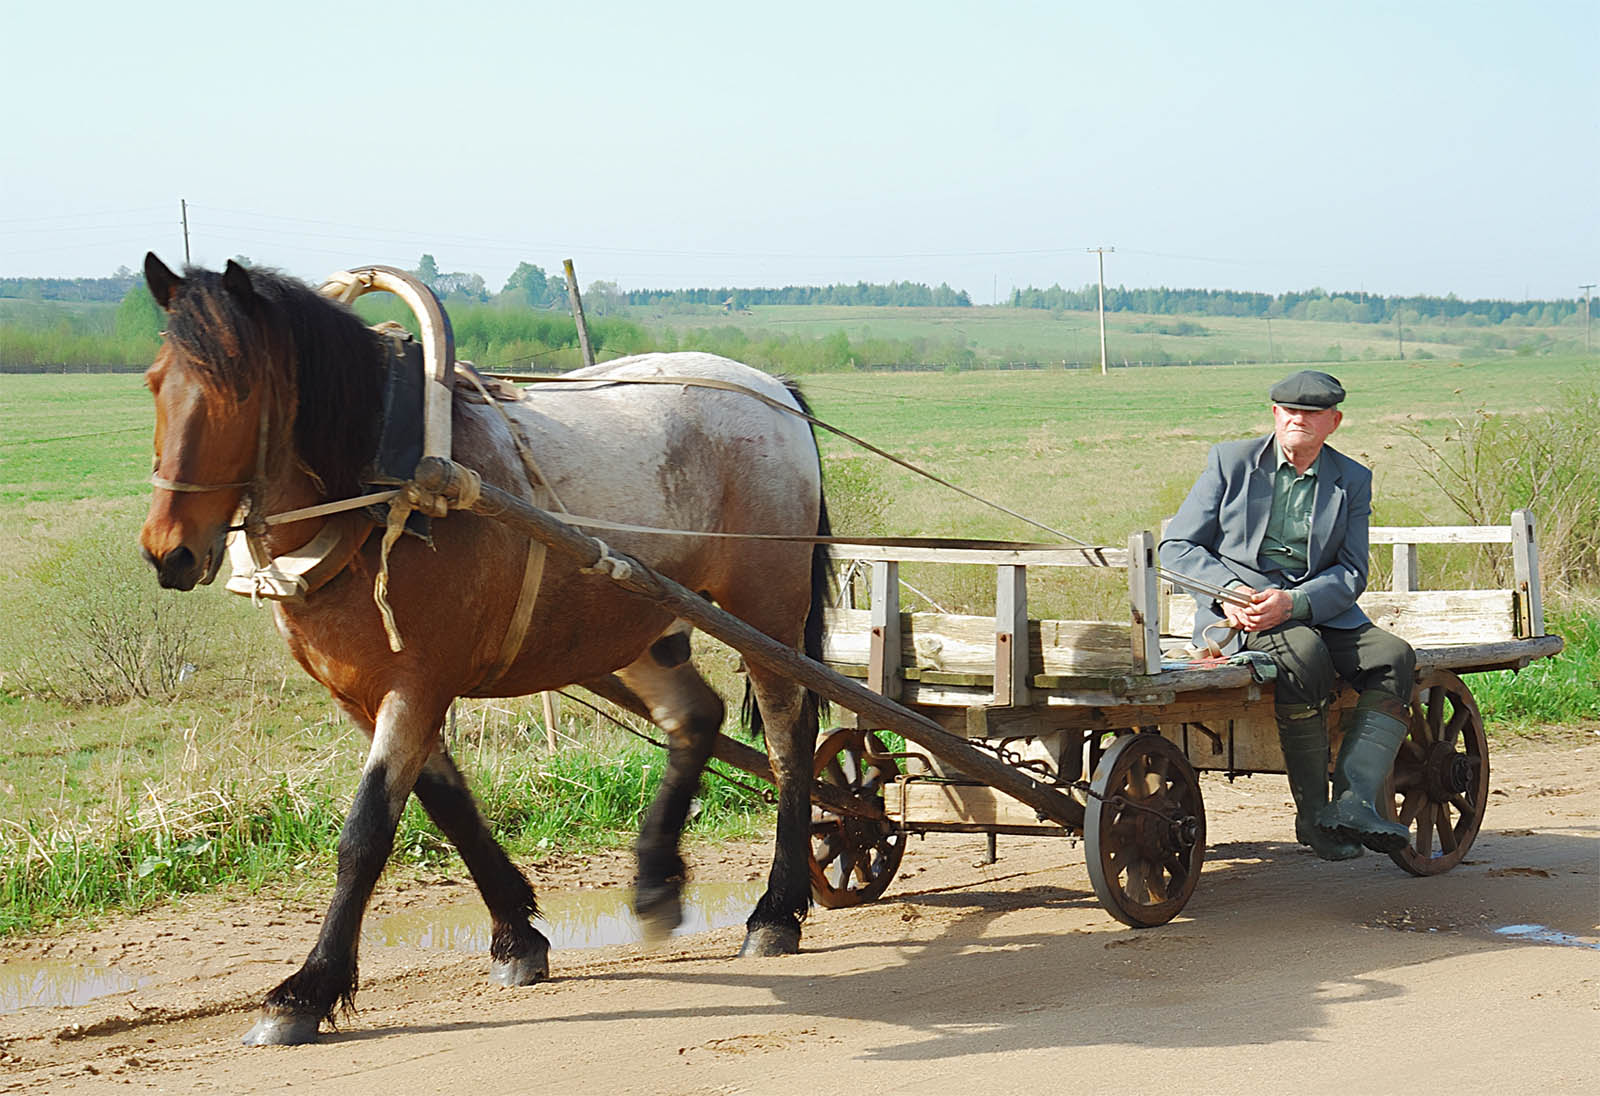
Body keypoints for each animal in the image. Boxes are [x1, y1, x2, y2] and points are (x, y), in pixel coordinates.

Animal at [136, 252, 832, 1049]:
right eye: (156, 382)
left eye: (239, 391)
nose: (167, 551)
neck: (383, 493)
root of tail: (770, 388)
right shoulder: (365, 694)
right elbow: (448, 806)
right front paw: (516, 937)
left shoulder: (416, 685)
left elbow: (365, 833)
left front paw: (306, 990)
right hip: (638, 619)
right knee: (696, 717)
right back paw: (656, 878)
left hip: (766, 612)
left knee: (789, 740)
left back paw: (776, 912)